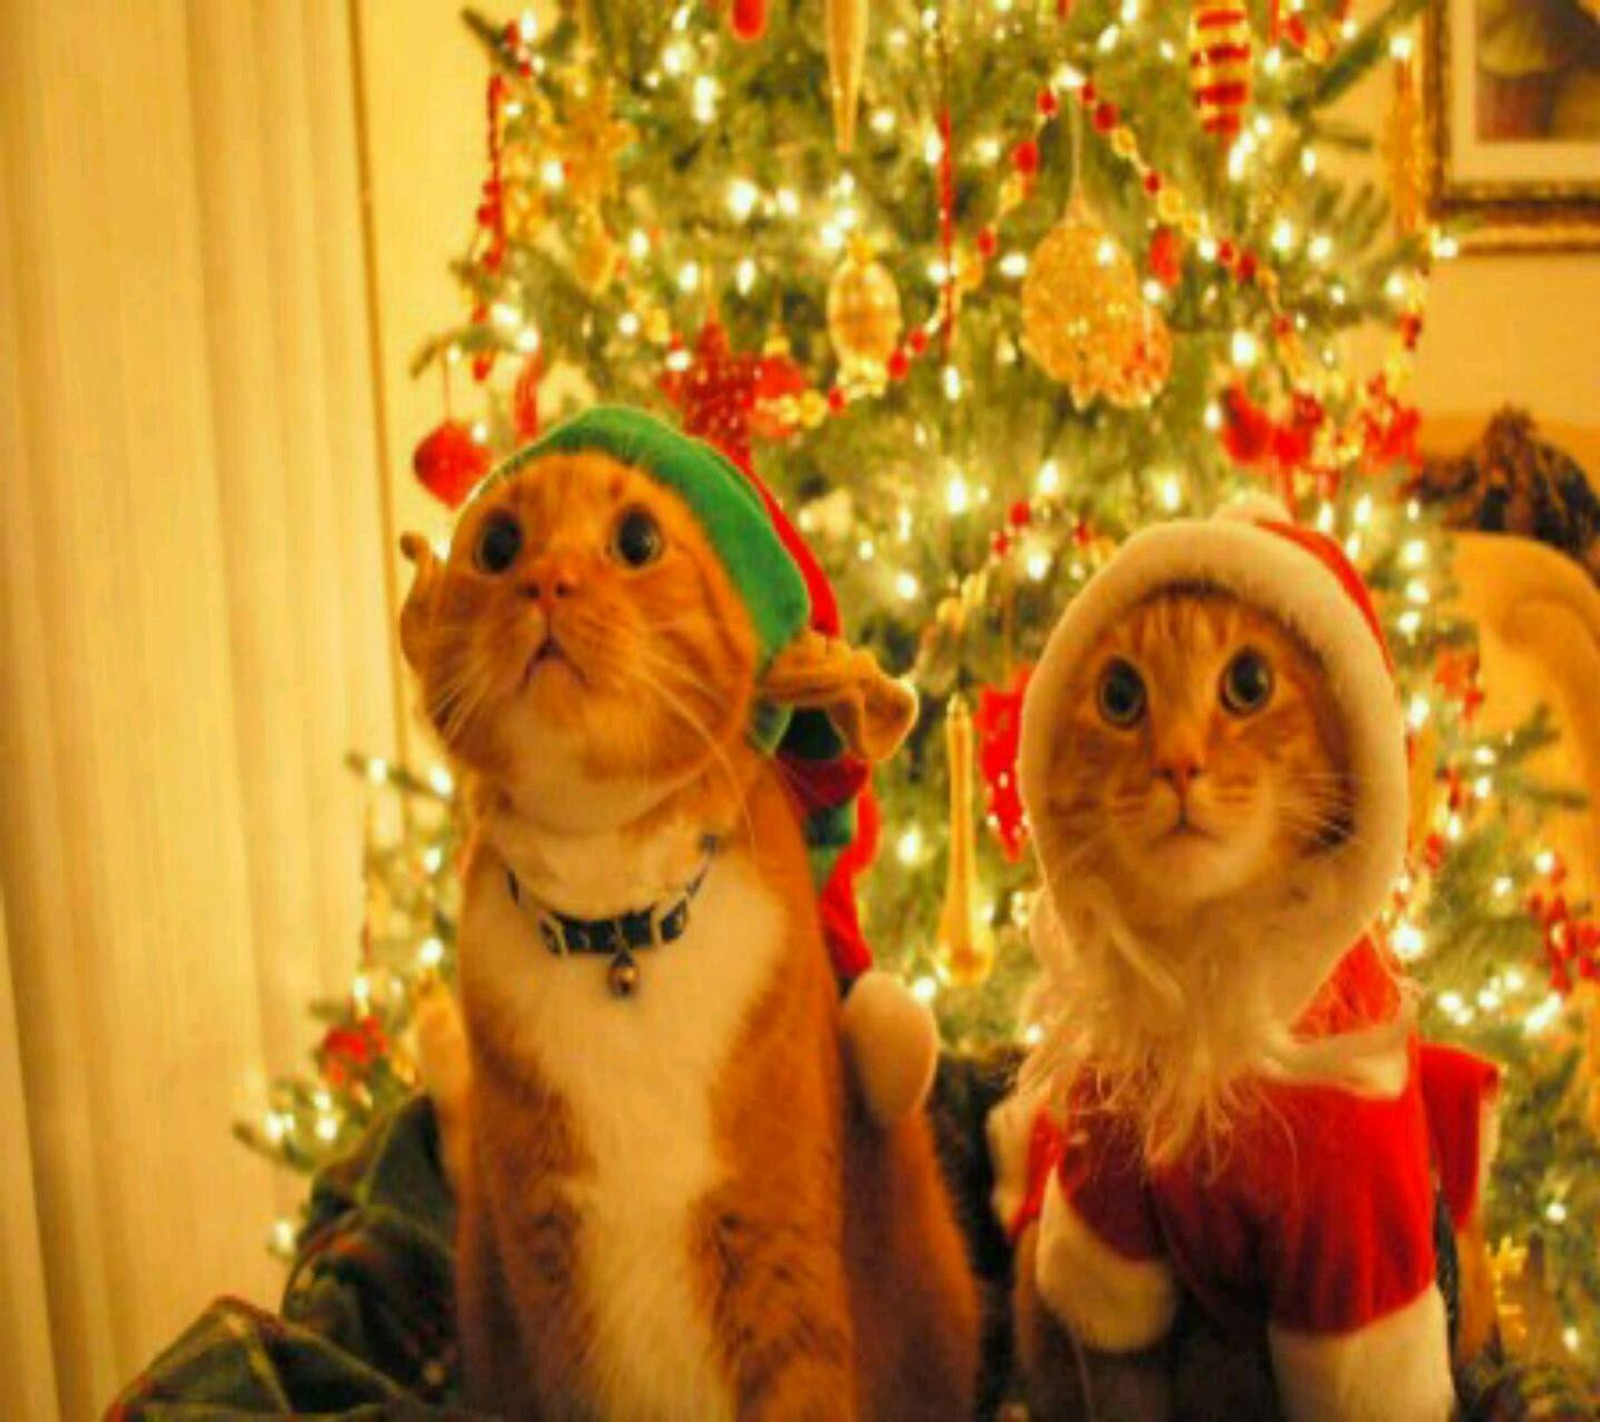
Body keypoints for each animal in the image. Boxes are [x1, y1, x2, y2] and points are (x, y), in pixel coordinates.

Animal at [403, 409, 972, 1420]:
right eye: (499, 545)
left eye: (636, 540)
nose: (545, 580)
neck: (617, 931)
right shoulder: (551, 1283)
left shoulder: (778, 1253)